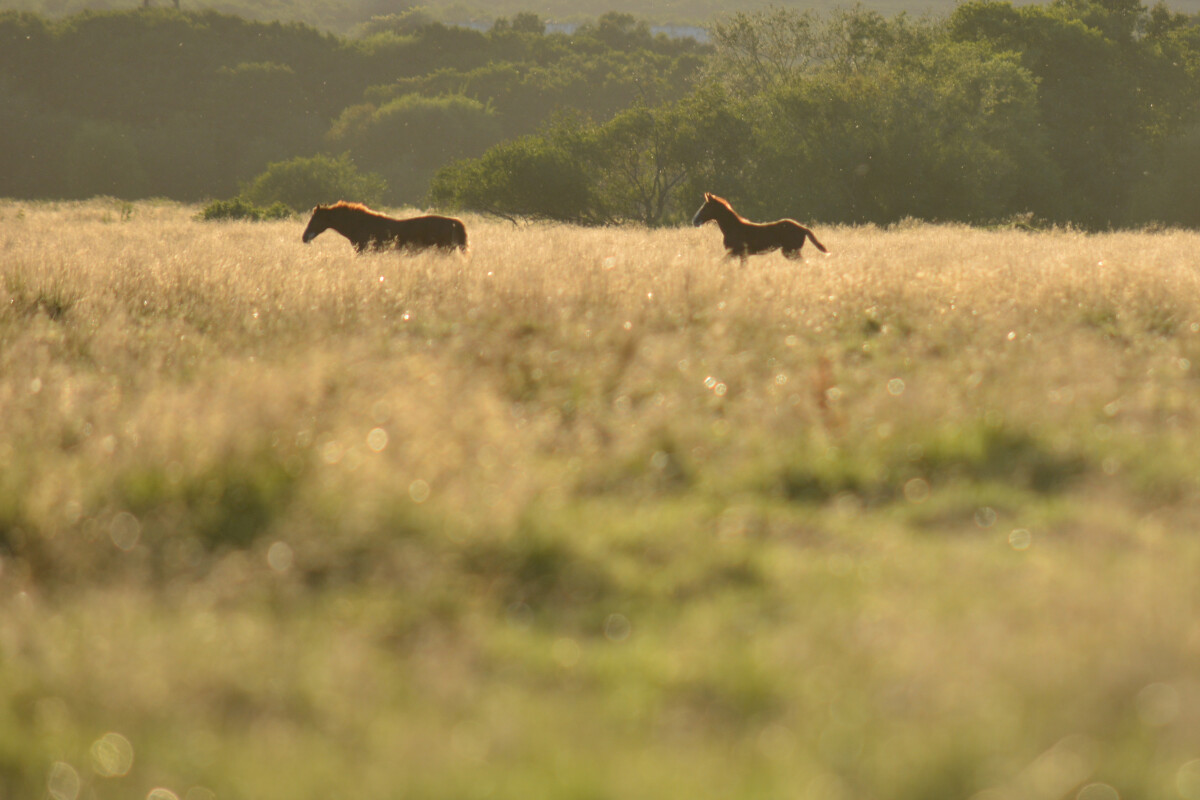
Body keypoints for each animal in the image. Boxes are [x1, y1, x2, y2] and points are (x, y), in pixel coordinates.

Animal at [691, 191, 830, 261]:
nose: (695, 221)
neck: (733, 227)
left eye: (706, 207)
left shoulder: (737, 253)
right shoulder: (740, 254)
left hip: (791, 251)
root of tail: (803, 228)